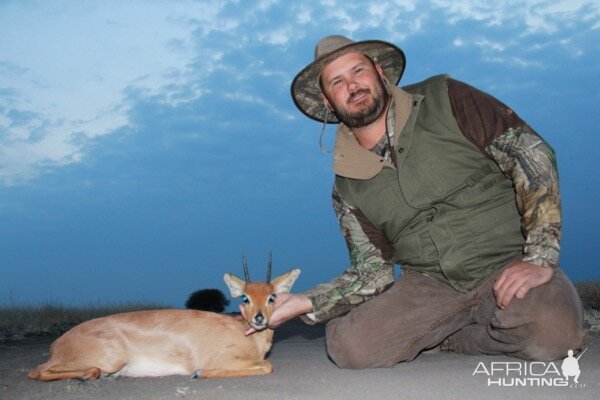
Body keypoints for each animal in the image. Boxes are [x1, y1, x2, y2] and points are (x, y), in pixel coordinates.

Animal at [28, 256, 300, 382]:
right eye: (245, 297)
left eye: (272, 296)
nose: (259, 318)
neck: (248, 336)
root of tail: (58, 343)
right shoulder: (225, 358)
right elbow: (267, 365)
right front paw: (199, 373)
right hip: (109, 358)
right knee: (37, 370)